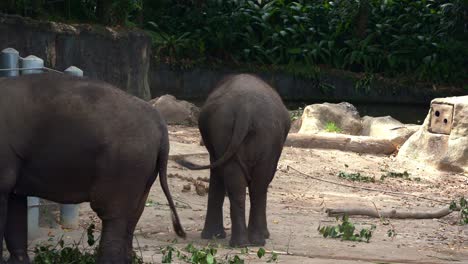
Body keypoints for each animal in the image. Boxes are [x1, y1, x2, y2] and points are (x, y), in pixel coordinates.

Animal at [0, 72, 186, 264]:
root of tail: (161, 126)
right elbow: (15, 202)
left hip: (124, 163)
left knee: (113, 214)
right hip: (143, 169)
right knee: (132, 216)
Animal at [176, 73, 290, 246]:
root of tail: (245, 109)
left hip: (240, 131)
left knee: (245, 183)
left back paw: (246, 242)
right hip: (254, 134)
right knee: (254, 184)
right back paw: (249, 241)